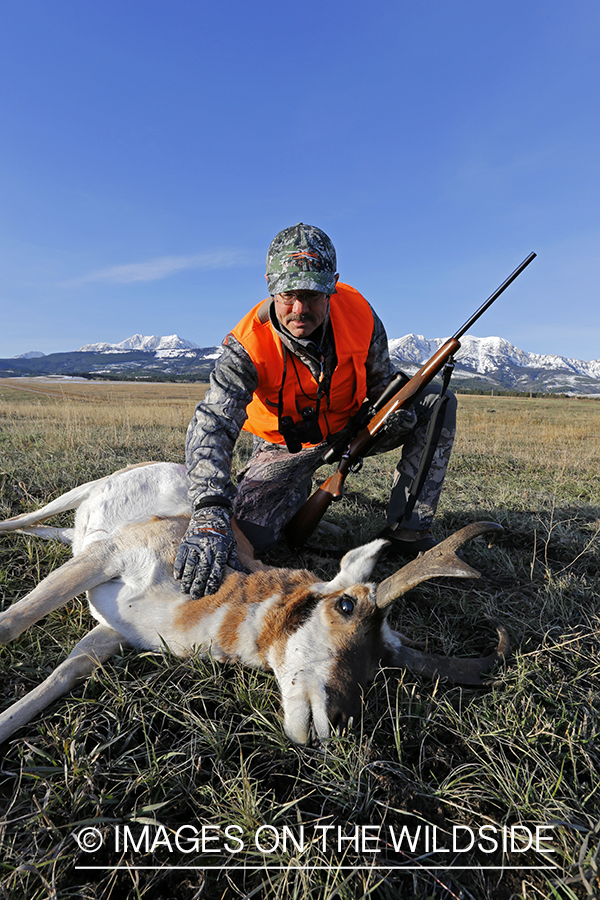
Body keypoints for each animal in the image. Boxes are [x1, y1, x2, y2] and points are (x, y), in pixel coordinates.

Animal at [0, 460, 506, 740]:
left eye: (383, 661)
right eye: (346, 606)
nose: (342, 721)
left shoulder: (111, 634)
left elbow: (63, 674)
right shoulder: (107, 558)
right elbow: (12, 621)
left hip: (77, 537)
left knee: (53, 532)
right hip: (79, 500)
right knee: (26, 518)